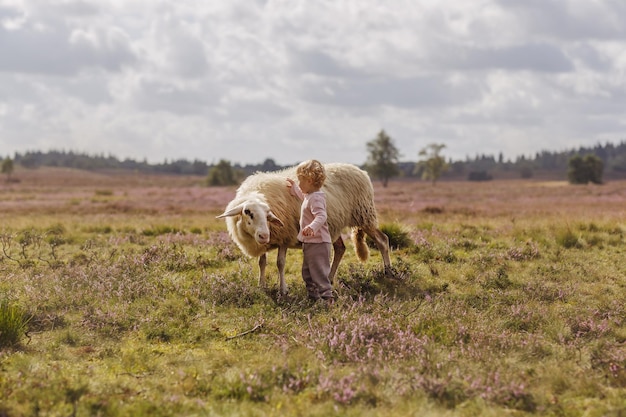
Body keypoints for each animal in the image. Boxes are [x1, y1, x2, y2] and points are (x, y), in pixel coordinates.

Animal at [216, 161, 390, 294]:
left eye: (267, 214)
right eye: (248, 212)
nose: (264, 235)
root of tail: (361, 170)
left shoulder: (285, 237)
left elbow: (280, 263)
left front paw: (283, 289)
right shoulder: (264, 242)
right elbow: (262, 263)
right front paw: (261, 286)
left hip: (364, 214)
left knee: (382, 240)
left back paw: (388, 272)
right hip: (334, 225)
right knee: (340, 249)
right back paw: (330, 279)